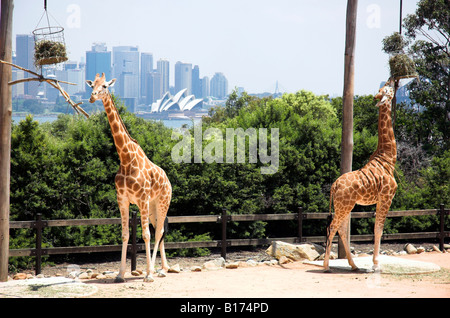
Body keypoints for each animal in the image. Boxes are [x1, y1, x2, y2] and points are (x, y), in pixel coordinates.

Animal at [85, 73, 171, 282]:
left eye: (105, 86)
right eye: (92, 85)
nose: (92, 97)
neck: (125, 159)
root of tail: (169, 181)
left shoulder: (141, 199)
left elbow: (145, 235)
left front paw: (148, 274)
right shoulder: (122, 199)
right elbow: (124, 235)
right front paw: (120, 274)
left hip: (162, 202)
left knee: (158, 232)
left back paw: (155, 270)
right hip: (153, 207)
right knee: (159, 229)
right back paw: (163, 268)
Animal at [324, 78, 398, 272]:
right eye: (386, 89)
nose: (391, 80)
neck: (388, 158)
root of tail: (334, 186)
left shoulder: (380, 199)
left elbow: (376, 228)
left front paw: (374, 263)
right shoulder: (387, 197)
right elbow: (379, 229)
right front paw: (376, 265)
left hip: (345, 205)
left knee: (341, 229)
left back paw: (354, 265)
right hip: (344, 205)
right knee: (332, 227)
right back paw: (326, 266)